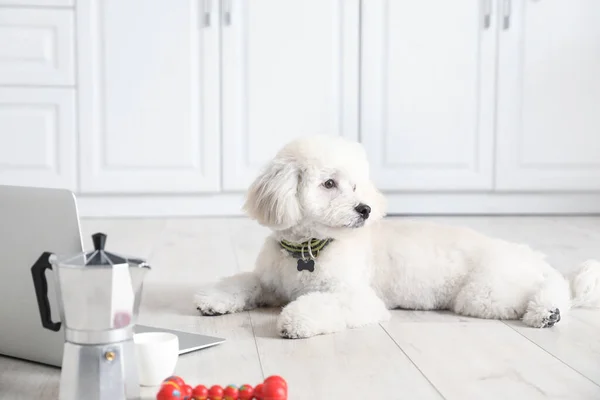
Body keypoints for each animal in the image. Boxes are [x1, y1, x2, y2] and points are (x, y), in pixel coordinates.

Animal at [195, 134, 596, 338]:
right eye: (329, 184)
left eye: (357, 185)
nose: (364, 210)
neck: (309, 249)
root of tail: (531, 256)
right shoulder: (269, 282)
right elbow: (242, 282)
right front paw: (214, 300)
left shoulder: (357, 297)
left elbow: (322, 305)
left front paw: (296, 320)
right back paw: (549, 312)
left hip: (485, 292)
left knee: (549, 288)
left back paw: (547, 312)